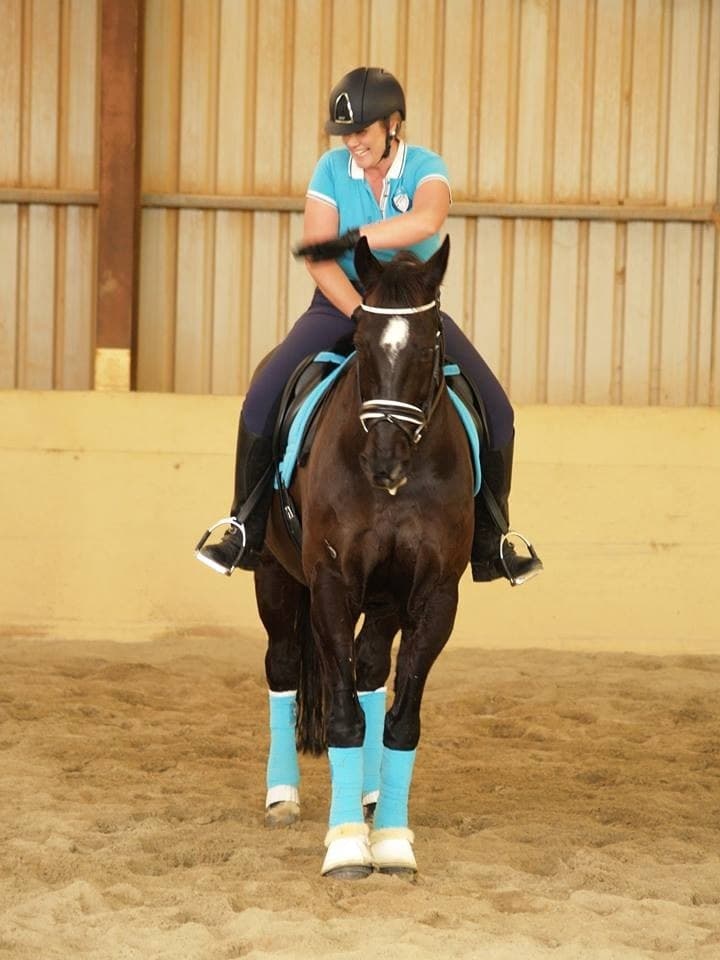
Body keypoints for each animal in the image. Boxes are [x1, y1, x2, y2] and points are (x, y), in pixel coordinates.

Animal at [254, 234, 474, 878]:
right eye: (361, 341)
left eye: (429, 345)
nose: (385, 462)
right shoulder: (330, 584)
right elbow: (344, 717)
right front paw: (347, 844)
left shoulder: (434, 595)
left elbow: (402, 720)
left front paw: (394, 841)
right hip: (275, 578)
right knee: (283, 666)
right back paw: (283, 798)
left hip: (385, 600)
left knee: (372, 669)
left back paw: (374, 797)